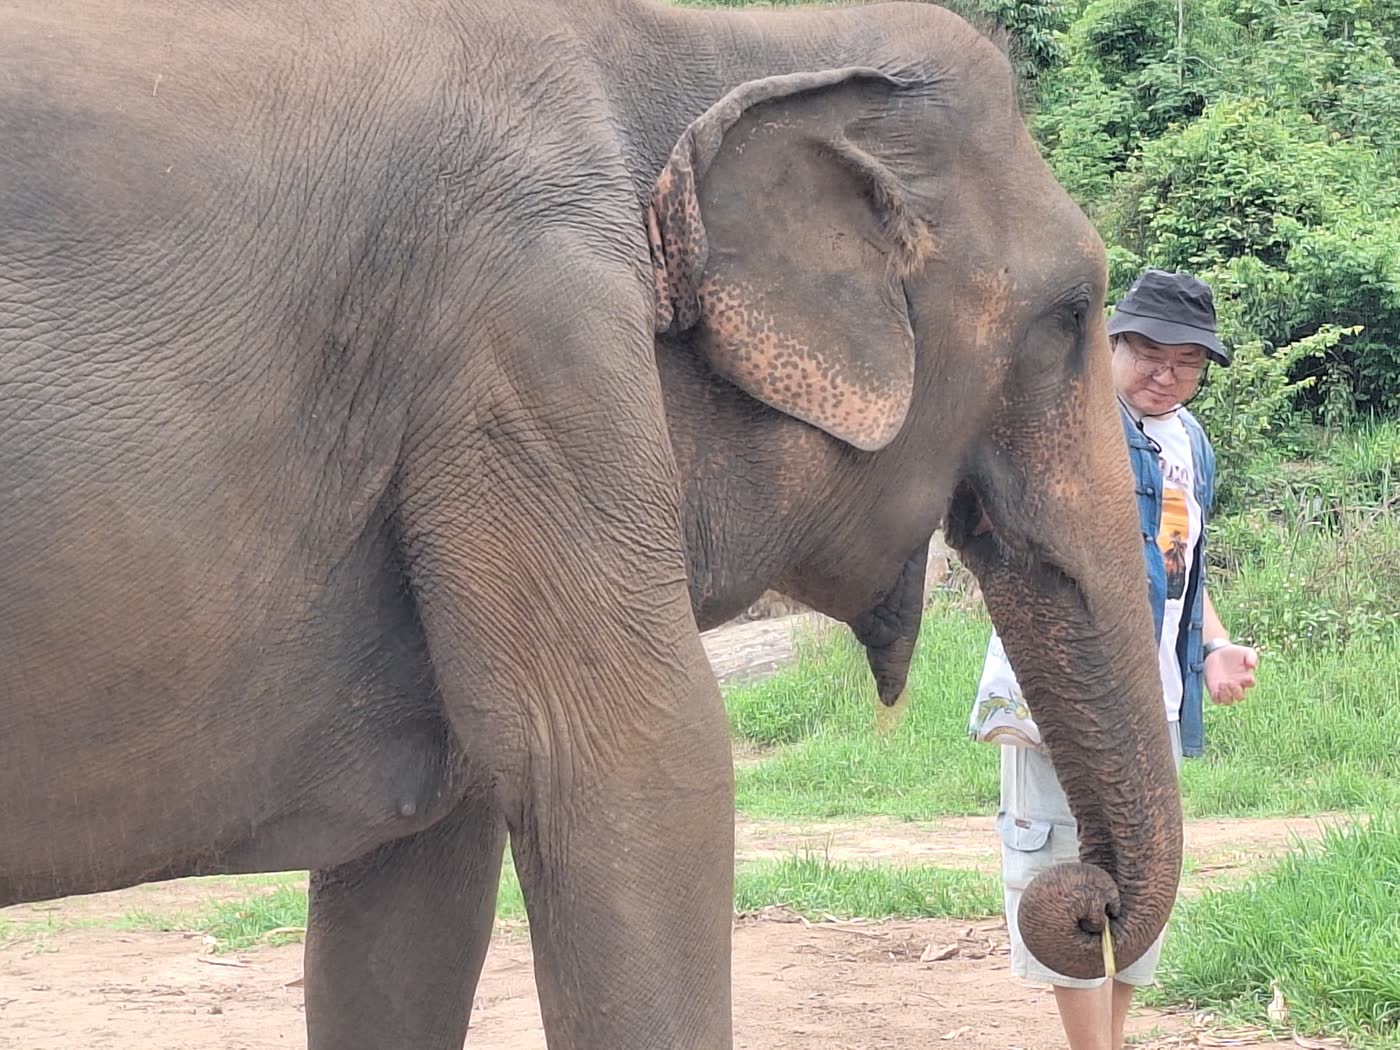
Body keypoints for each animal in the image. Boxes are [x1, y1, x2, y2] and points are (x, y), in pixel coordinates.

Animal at [0, 1, 1184, 1047]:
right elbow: (642, 772)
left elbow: (427, 857)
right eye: (1070, 316)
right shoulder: (528, 339)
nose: (1083, 900)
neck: (723, 36)